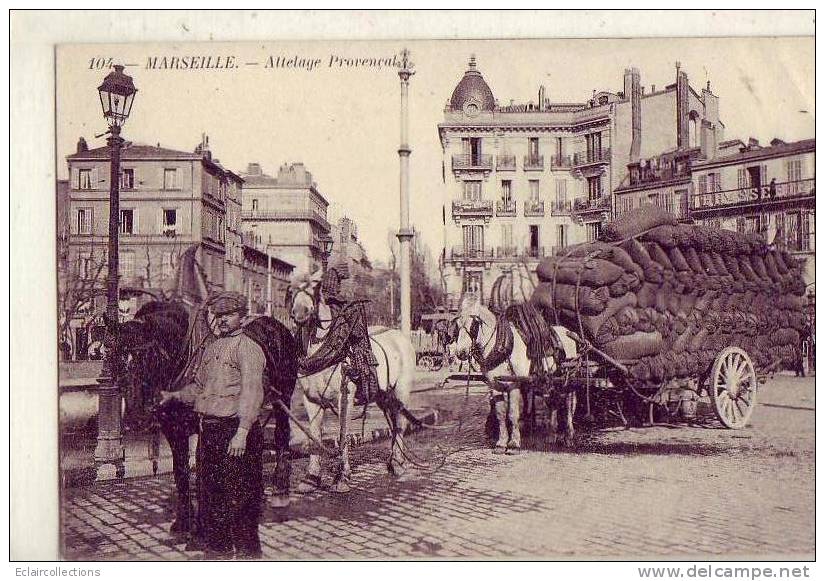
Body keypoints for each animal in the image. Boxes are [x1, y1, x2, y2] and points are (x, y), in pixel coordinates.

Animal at [114, 302, 298, 536]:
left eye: (149, 357)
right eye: (117, 359)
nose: (135, 419)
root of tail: (276, 325)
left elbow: (203, 471)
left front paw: (204, 522)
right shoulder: (174, 430)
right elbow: (181, 472)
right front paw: (183, 521)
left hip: (284, 396)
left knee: (281, 435)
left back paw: (280, 492)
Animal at [290, 270, 418, 490]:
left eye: (316, 284)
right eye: (290, 287)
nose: (300, 312)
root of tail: (399, 336)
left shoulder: (345, 398)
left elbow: (343, 434)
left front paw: (342, 476)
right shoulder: (311, 400)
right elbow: (314, 436)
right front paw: (311, 478)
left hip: (401, 391)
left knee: (400, 423)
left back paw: (399, 463)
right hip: (384, 396)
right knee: (393, 422)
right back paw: (393, 462)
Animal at [448, 294, 576, 454]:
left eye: (474, 325)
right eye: (457, 325)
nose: (461, 353)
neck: (502, 345)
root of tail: (569, 332)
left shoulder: (514, 384)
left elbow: (513, 414)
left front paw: (514, 443)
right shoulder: (495, 386)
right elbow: (501, 414)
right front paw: (501, 443)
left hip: (568, 380)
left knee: (568, 405)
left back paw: (569, 436)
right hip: (550, 380)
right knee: (553, 403)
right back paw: (552, 435)